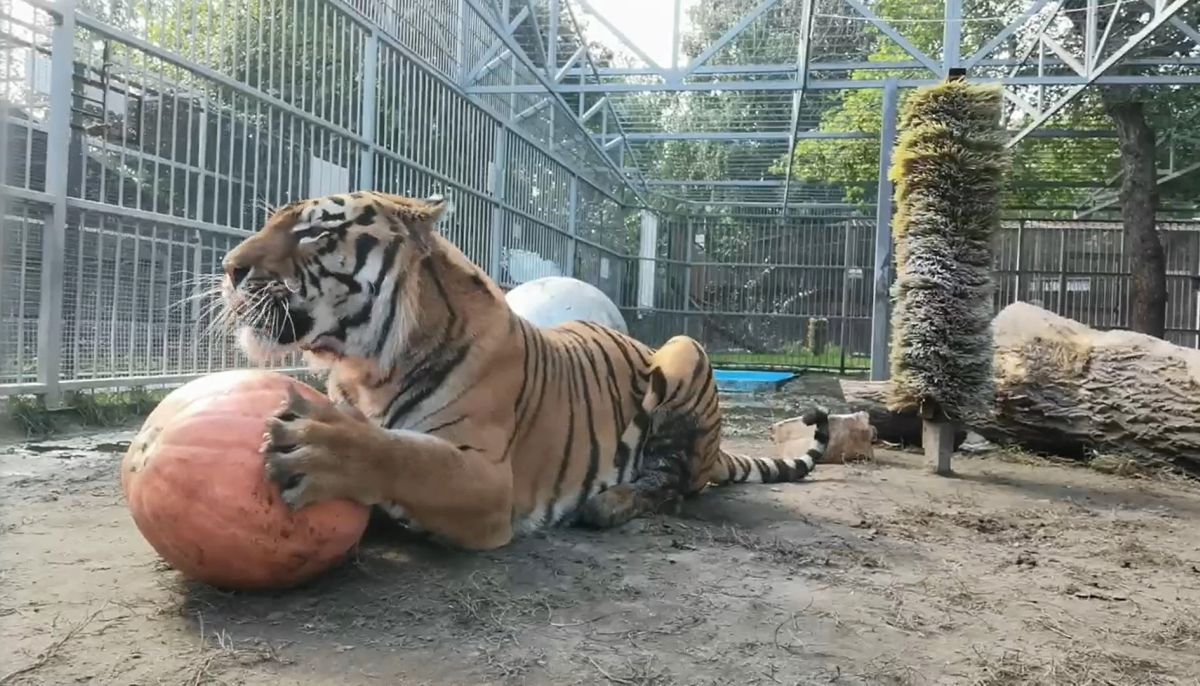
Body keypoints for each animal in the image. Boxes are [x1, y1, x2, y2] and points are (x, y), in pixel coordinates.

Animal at [220, 190, 830, 549]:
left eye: (315, 232)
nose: (229, 268)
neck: (364, 368)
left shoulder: (488, 477)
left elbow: (406, 455)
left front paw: (320, 449)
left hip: (683, 350)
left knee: (674, 483)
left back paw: (609, 503)